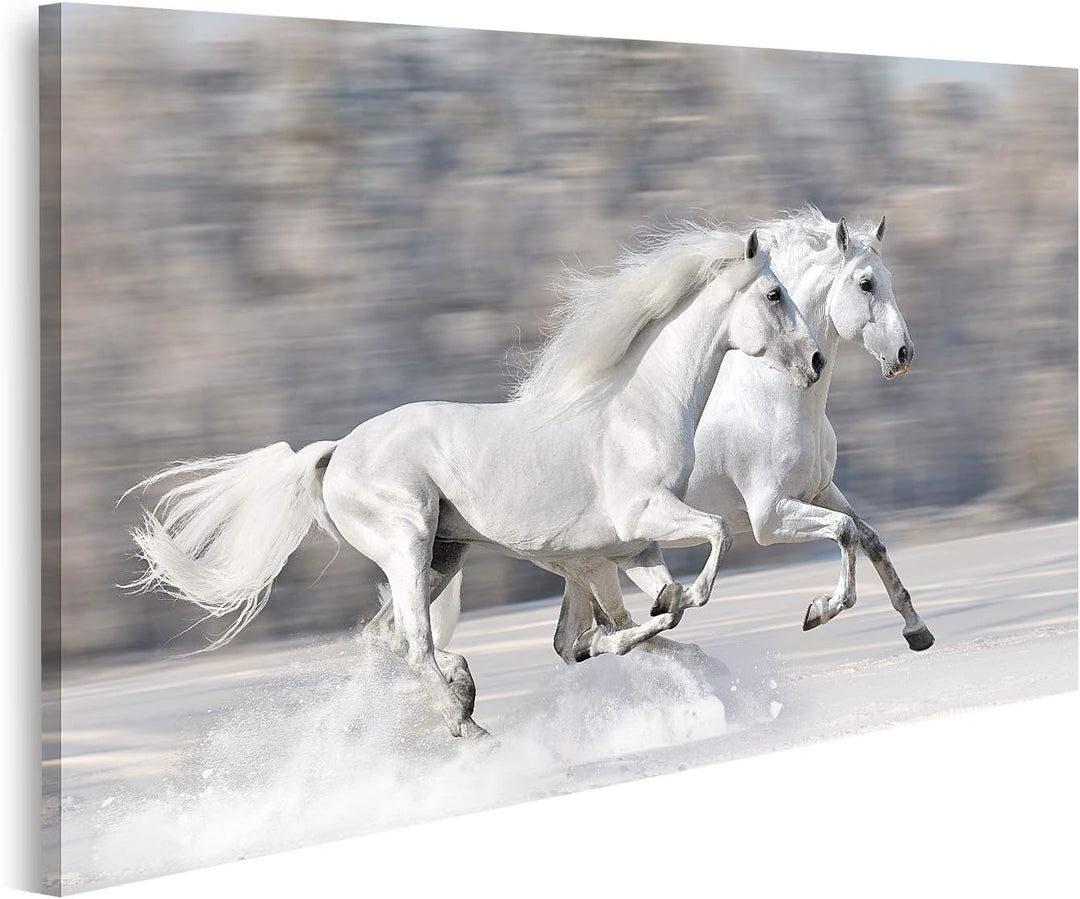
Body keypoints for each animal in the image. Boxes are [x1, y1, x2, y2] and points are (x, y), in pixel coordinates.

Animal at [125, 224, 824, 738]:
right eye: (773, 295)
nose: (816, 360)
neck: (636, 408)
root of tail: (335, 454)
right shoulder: (641, 522)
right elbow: (710, 546)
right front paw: (668, 613)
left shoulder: (629, 550)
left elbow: (643, 618)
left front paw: (667, 634)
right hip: (408, 545)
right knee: (412, 643)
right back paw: (468, 725)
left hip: (443, 555)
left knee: (388, 640)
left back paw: (461, 695)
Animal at [428, 208, 934, 668]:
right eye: (866, 283)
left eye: (887, 278)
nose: (903, 354)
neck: (775, 399)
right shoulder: (770, 516)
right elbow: (844, 532)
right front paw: (819, 611)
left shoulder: (820, 490)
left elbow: (869, 538)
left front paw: (917, 631)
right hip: (593, 562)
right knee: (597, 631)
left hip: (587, 563)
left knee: (577, 638)